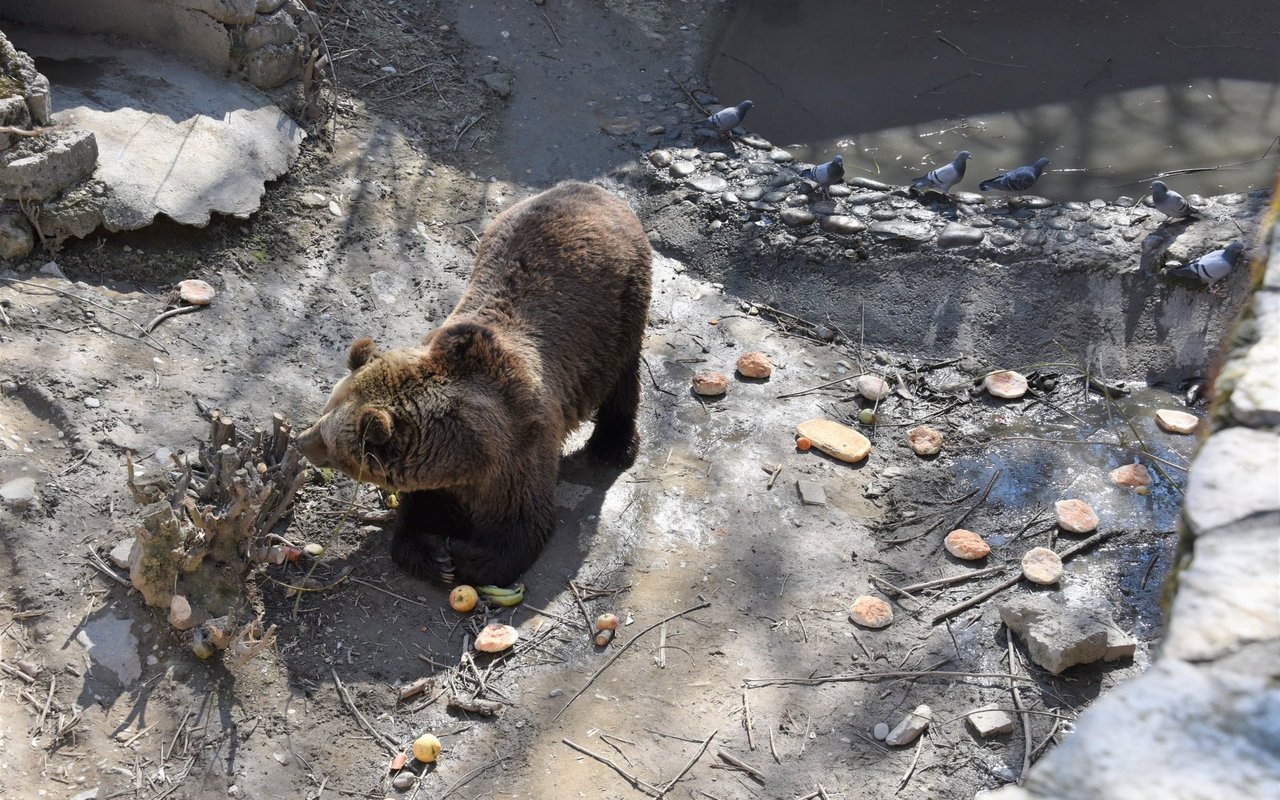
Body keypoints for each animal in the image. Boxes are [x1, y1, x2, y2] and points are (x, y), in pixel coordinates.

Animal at [293, 184, 645, 588]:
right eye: (323, 413)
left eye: (331, 443)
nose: (301, 441)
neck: (466, 454)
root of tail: (592, 190)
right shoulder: (439, 477)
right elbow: (418, 519)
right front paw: (433, 553)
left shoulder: (519, 450)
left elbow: (521, 528)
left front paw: (461, 556)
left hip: (617, 312)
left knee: (623, 377)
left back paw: (613, 445)